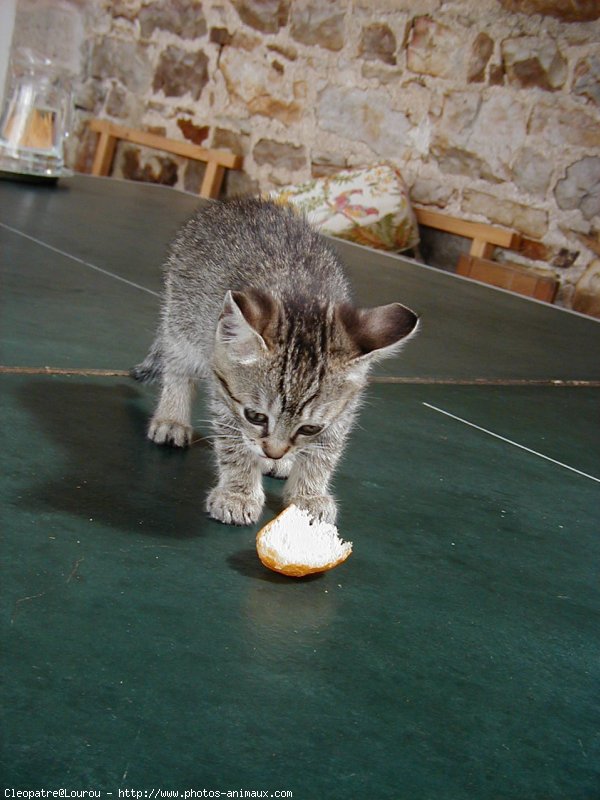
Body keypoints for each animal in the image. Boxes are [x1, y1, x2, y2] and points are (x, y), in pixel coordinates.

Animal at [134, 198, 420, 524]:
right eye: (255, 416)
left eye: (309, 429)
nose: (273, 452)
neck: (304, 298)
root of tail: (240, 203)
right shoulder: (225, 393)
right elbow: (235, 443)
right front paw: (238, 493)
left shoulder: (344, 410)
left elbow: (325, 450)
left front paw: (309, 494)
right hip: (183, 321)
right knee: (178, 366)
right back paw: (172, 419)